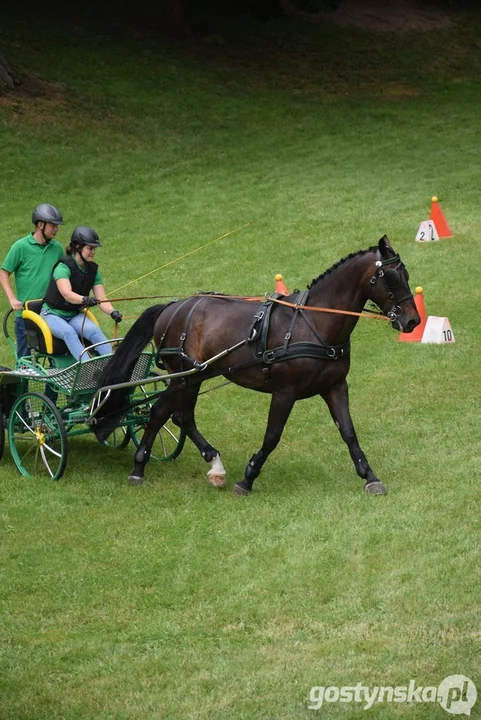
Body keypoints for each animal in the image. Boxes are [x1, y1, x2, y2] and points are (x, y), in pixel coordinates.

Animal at [93, 236, 416, 496]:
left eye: (406, 273)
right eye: (391, 276)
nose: (413, 320)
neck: (315, 323)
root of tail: (172, 306)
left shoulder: (335, 386)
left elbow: (348, 431)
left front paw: (369, 476)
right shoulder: (285, 392)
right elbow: (272, 436)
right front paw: (247, 478)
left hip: (193, 375)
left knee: (171, 414)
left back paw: (183, 465)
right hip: (182, 375)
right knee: (171, 414)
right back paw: (164, 466)